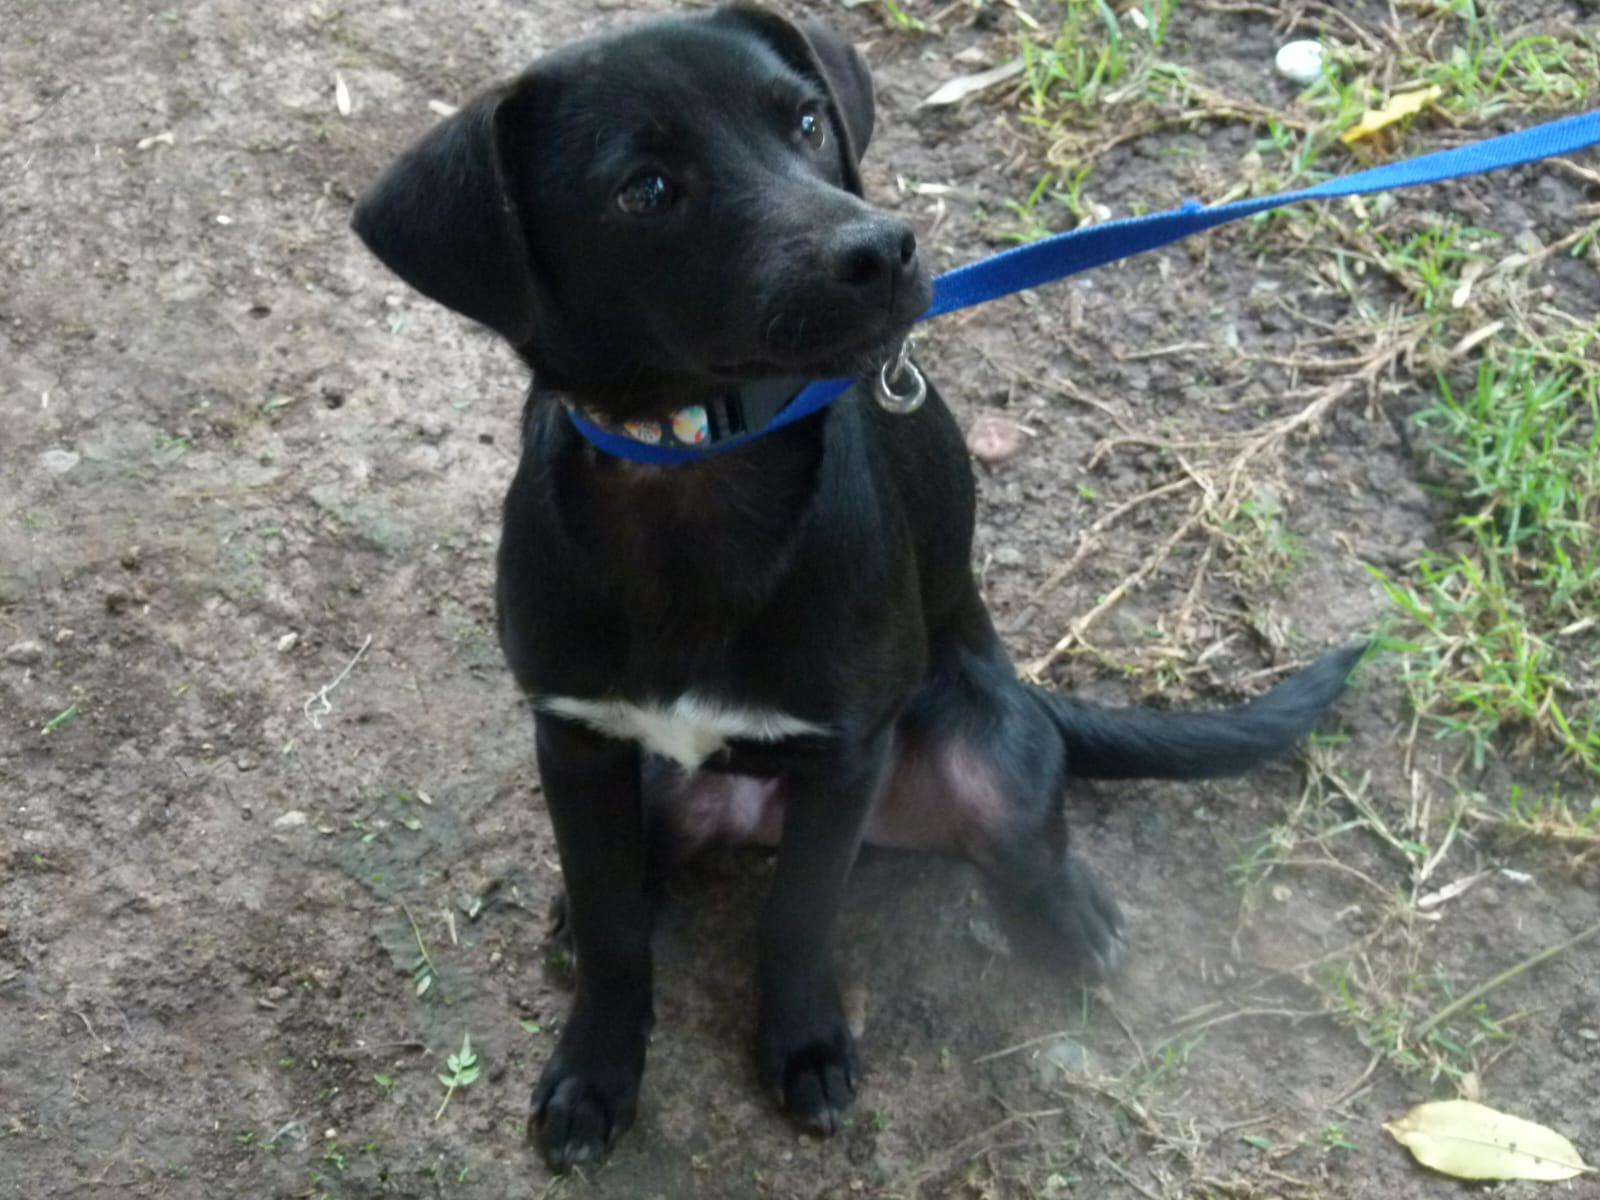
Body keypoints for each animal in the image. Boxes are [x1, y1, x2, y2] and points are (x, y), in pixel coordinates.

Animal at [352, 3, 1360, 1171]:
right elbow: (613, 934)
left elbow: (798, 918)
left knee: (1029, 836)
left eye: (802, 120)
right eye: (644, 189)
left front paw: (803, 1049)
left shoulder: (843, 759)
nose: (883, 250)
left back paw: (1073, 918)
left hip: (987, 752)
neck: (695, 463)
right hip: (651, 785)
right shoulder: (576, 741)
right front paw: (595, 1073)